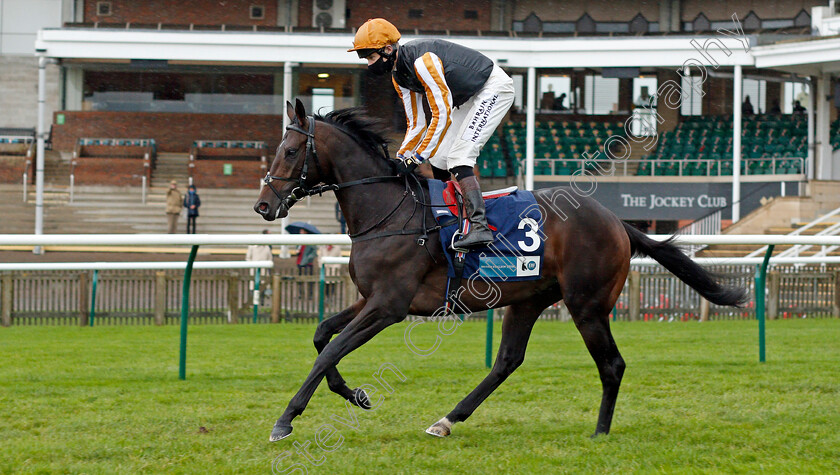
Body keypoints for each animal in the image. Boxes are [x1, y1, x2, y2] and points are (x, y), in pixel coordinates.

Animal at [253, 99, 744, 442]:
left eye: (290, 151)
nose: (262, 206)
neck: (388, 211)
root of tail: (616, 221)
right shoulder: (369, 298)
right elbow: (322, 336)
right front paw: (355, 394)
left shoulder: (389, 305)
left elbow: (330, 351)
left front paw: (285, 419)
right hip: (528, 300)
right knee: (507, 361)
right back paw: (447, 420)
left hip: (587, 305)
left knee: (612, 364)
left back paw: (600, 432)